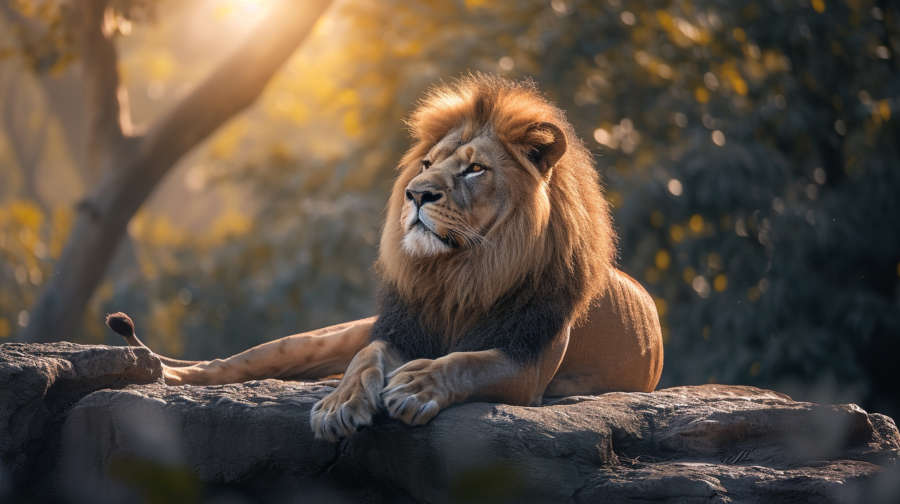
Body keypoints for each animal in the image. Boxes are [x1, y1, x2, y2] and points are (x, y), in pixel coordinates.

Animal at [107, 74, 663, 442]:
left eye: (474, 170)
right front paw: (339, 403)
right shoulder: (399, 328)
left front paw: (415, 384)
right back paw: (166, 375)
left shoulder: (526, 361)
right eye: (426, 164)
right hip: (319, 338)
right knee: (233, 362)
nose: (417, 194)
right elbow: (367, 357)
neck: (460, 272)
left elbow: (468, 361)